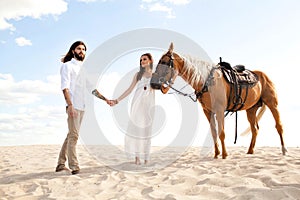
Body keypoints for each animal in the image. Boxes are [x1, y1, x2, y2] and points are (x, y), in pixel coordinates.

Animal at [151, 43, 288, 159]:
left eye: (164, 62)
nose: (153, 83)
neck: (206, 81)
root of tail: (264, 76)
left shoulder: (220, 110)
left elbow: (222, 133)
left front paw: (224, 154)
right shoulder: (208, 111)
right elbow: (214, 132)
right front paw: (216, 154)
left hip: (272, 104)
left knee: (279, 126)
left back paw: (284, 150)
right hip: (251, 110)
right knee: (255, 130)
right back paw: (250, 151)